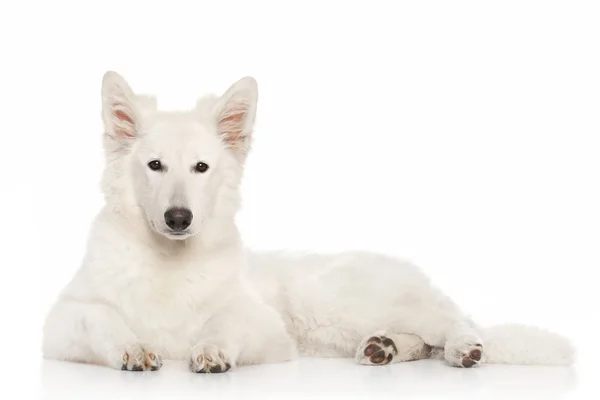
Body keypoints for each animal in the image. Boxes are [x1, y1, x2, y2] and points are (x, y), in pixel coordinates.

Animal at [41, 72, 572, 372]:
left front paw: (211, 350)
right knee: (422, 339)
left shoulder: (265, 326)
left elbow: (226, 323)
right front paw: (133, 348)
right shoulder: (61, 324)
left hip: (338, 304)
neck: (168, 261)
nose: (178, 218)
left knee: (449, 323)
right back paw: (384, 349)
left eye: (201, 168)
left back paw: (464, 348)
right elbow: (102, 318)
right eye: (154, 166)